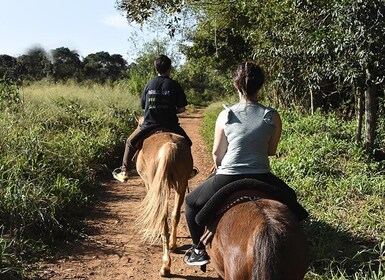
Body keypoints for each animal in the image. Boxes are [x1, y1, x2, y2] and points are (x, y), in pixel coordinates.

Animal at [135, 124, 194, 276]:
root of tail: (169, 147)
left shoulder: (149, 184)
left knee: (162, 218)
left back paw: (165, 265)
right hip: (181, 184)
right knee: (175, 215)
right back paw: (172, 245)